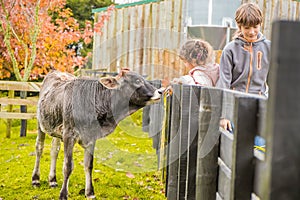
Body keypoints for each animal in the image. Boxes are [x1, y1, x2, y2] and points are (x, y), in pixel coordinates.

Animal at [31, 69, 163, 199]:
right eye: (137, 81)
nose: (161, 91)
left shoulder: (91, 138)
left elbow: (88, 165)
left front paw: (90, 193)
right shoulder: (69, 135)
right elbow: (68, 166)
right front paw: (63, 194)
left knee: (54, 150)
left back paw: (52, 180)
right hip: (40, 123)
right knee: (39, 148)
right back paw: (36, 179)